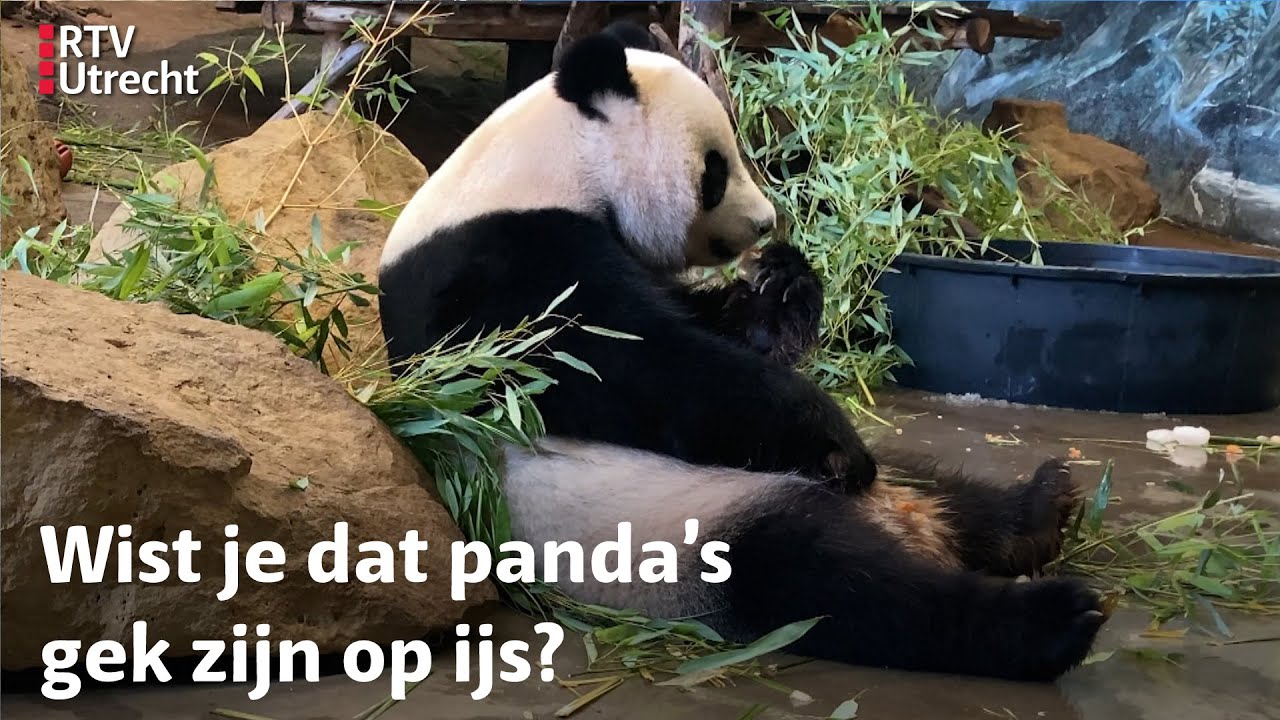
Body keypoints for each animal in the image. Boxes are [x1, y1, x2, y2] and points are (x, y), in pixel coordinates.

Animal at [378, 23, 1106, 681]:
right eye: (715, 169)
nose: (765, 224)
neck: (540, 168)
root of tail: (905, 522)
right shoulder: (500, 271)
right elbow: (641, 370)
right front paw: (825, 428)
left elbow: (723, 335)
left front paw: (785, 282)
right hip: (682, 530)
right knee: (833, 582)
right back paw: (1053, 618)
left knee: (939, 487)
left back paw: (1041, 505)